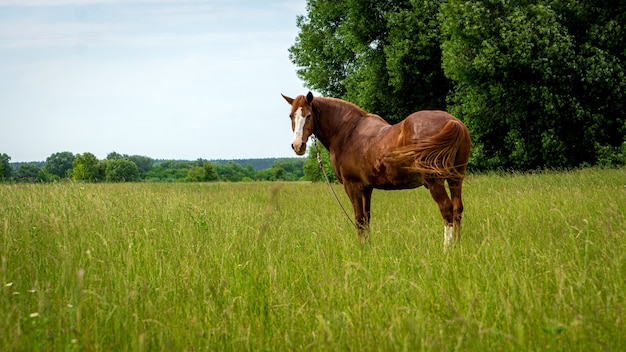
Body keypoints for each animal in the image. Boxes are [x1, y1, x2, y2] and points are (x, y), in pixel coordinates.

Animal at [282, 92, 468, 249]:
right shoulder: (366, 188)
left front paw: (361, 248)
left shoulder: (352, 185)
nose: (298, 146)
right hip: (456, 179)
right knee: (457, 209)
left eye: (308, 116)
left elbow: (358, 218)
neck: (347, 132)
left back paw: (447, 248)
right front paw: (368, 246)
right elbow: (366, 218)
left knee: (447, 209)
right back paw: (457, 245)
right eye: (291, 116)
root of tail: (453, 122)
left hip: (434, 180)